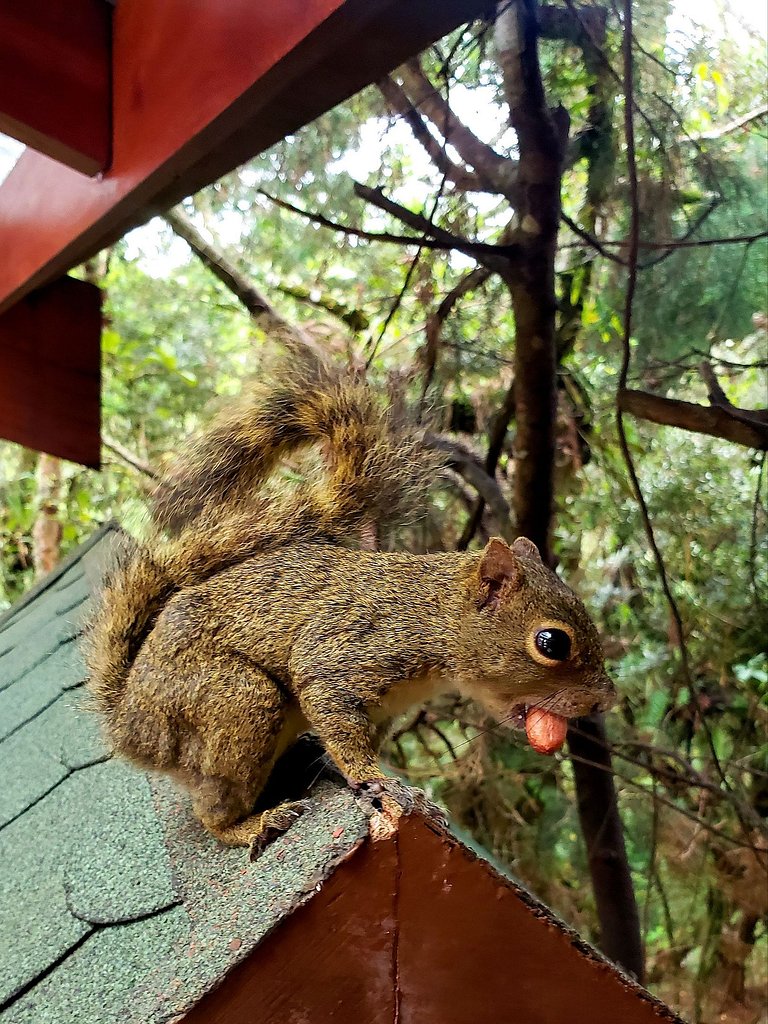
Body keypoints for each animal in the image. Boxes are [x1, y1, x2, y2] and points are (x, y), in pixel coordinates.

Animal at [83, 360, 618, 856]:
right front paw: (380, 782)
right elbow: (333, 709)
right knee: (211, 812)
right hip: (236, 700)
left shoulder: (383, 710)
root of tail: (129, 720)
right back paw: (252, 824)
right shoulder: (349, 651)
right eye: (551, 642)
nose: (604, 701)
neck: (434, 616)